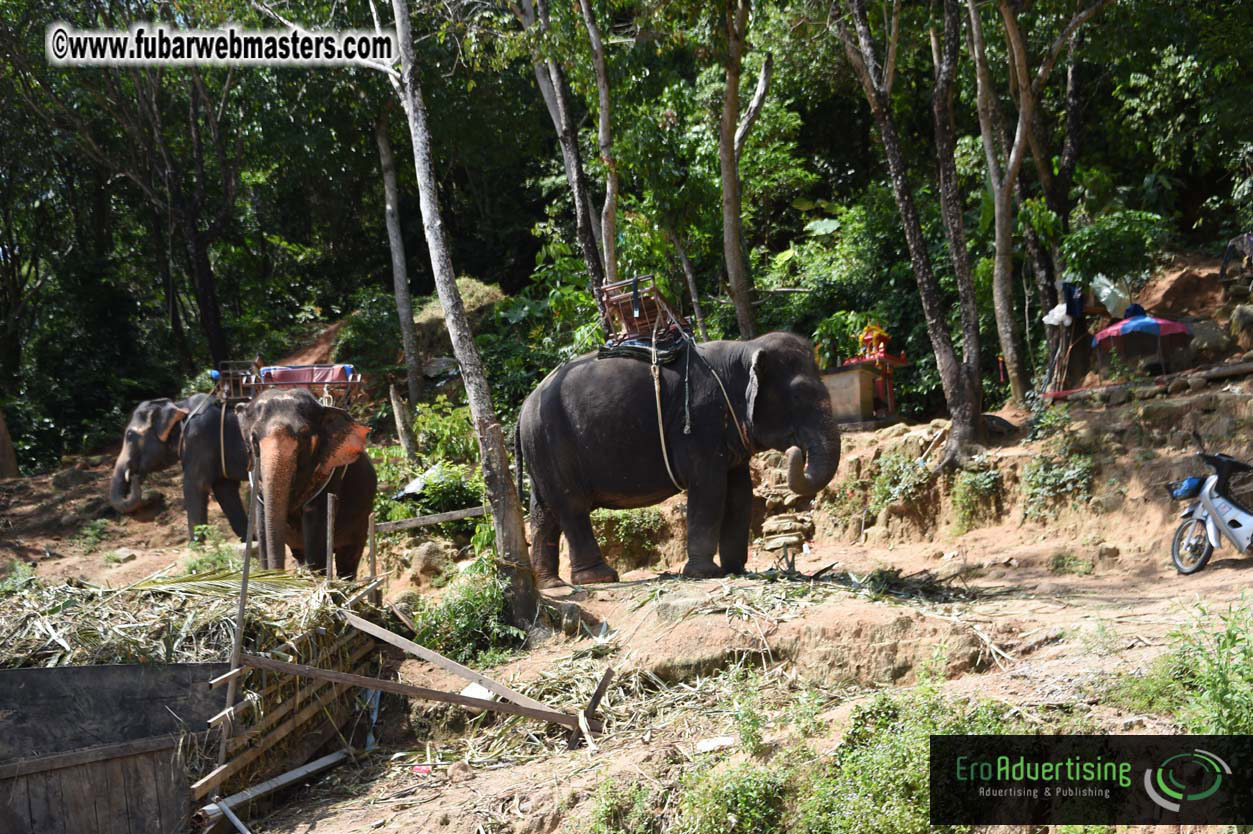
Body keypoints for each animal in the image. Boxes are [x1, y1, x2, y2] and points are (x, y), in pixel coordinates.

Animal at [109, 394, 250, 541]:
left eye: (130, 435)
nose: (134, 476)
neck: (179, 405)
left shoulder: (198, 439)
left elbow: (194, 485)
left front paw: (195, 544)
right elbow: (225, 489)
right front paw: (248, 540)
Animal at [237, 388, 377, 578]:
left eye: (304, 436)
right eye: (254, 437)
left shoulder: (330, 477)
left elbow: (316, 538)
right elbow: (263, 527)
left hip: (362, 518)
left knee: (348, 559)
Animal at [517, 331, 840, 587]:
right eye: (798, 396)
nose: (796, 451)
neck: (744, 349)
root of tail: (522, 410)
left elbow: (740, 492)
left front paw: (736, 570)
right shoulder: (698, 423)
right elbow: (709, 488)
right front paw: (704, 573)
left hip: (542, 452)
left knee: (544, 512)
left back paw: (552, 584)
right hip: (554, 445)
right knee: (572, 507)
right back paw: (599, 578)